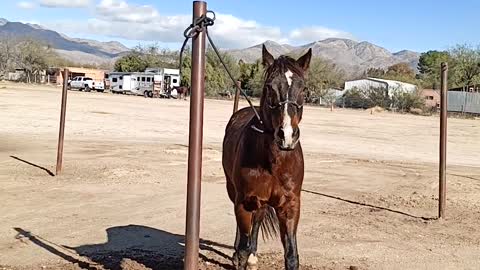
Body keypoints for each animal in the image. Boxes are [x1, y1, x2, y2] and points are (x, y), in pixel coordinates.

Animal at [221, 44, 312, 270]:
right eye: (270, 87)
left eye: (304, 89)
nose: (286, 135)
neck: (274, 162)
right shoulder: (244, 202)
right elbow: (242, 250)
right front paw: (240, 256)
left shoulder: (290, 205)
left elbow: (291, 255)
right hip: (234, 191)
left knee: (258, 219)